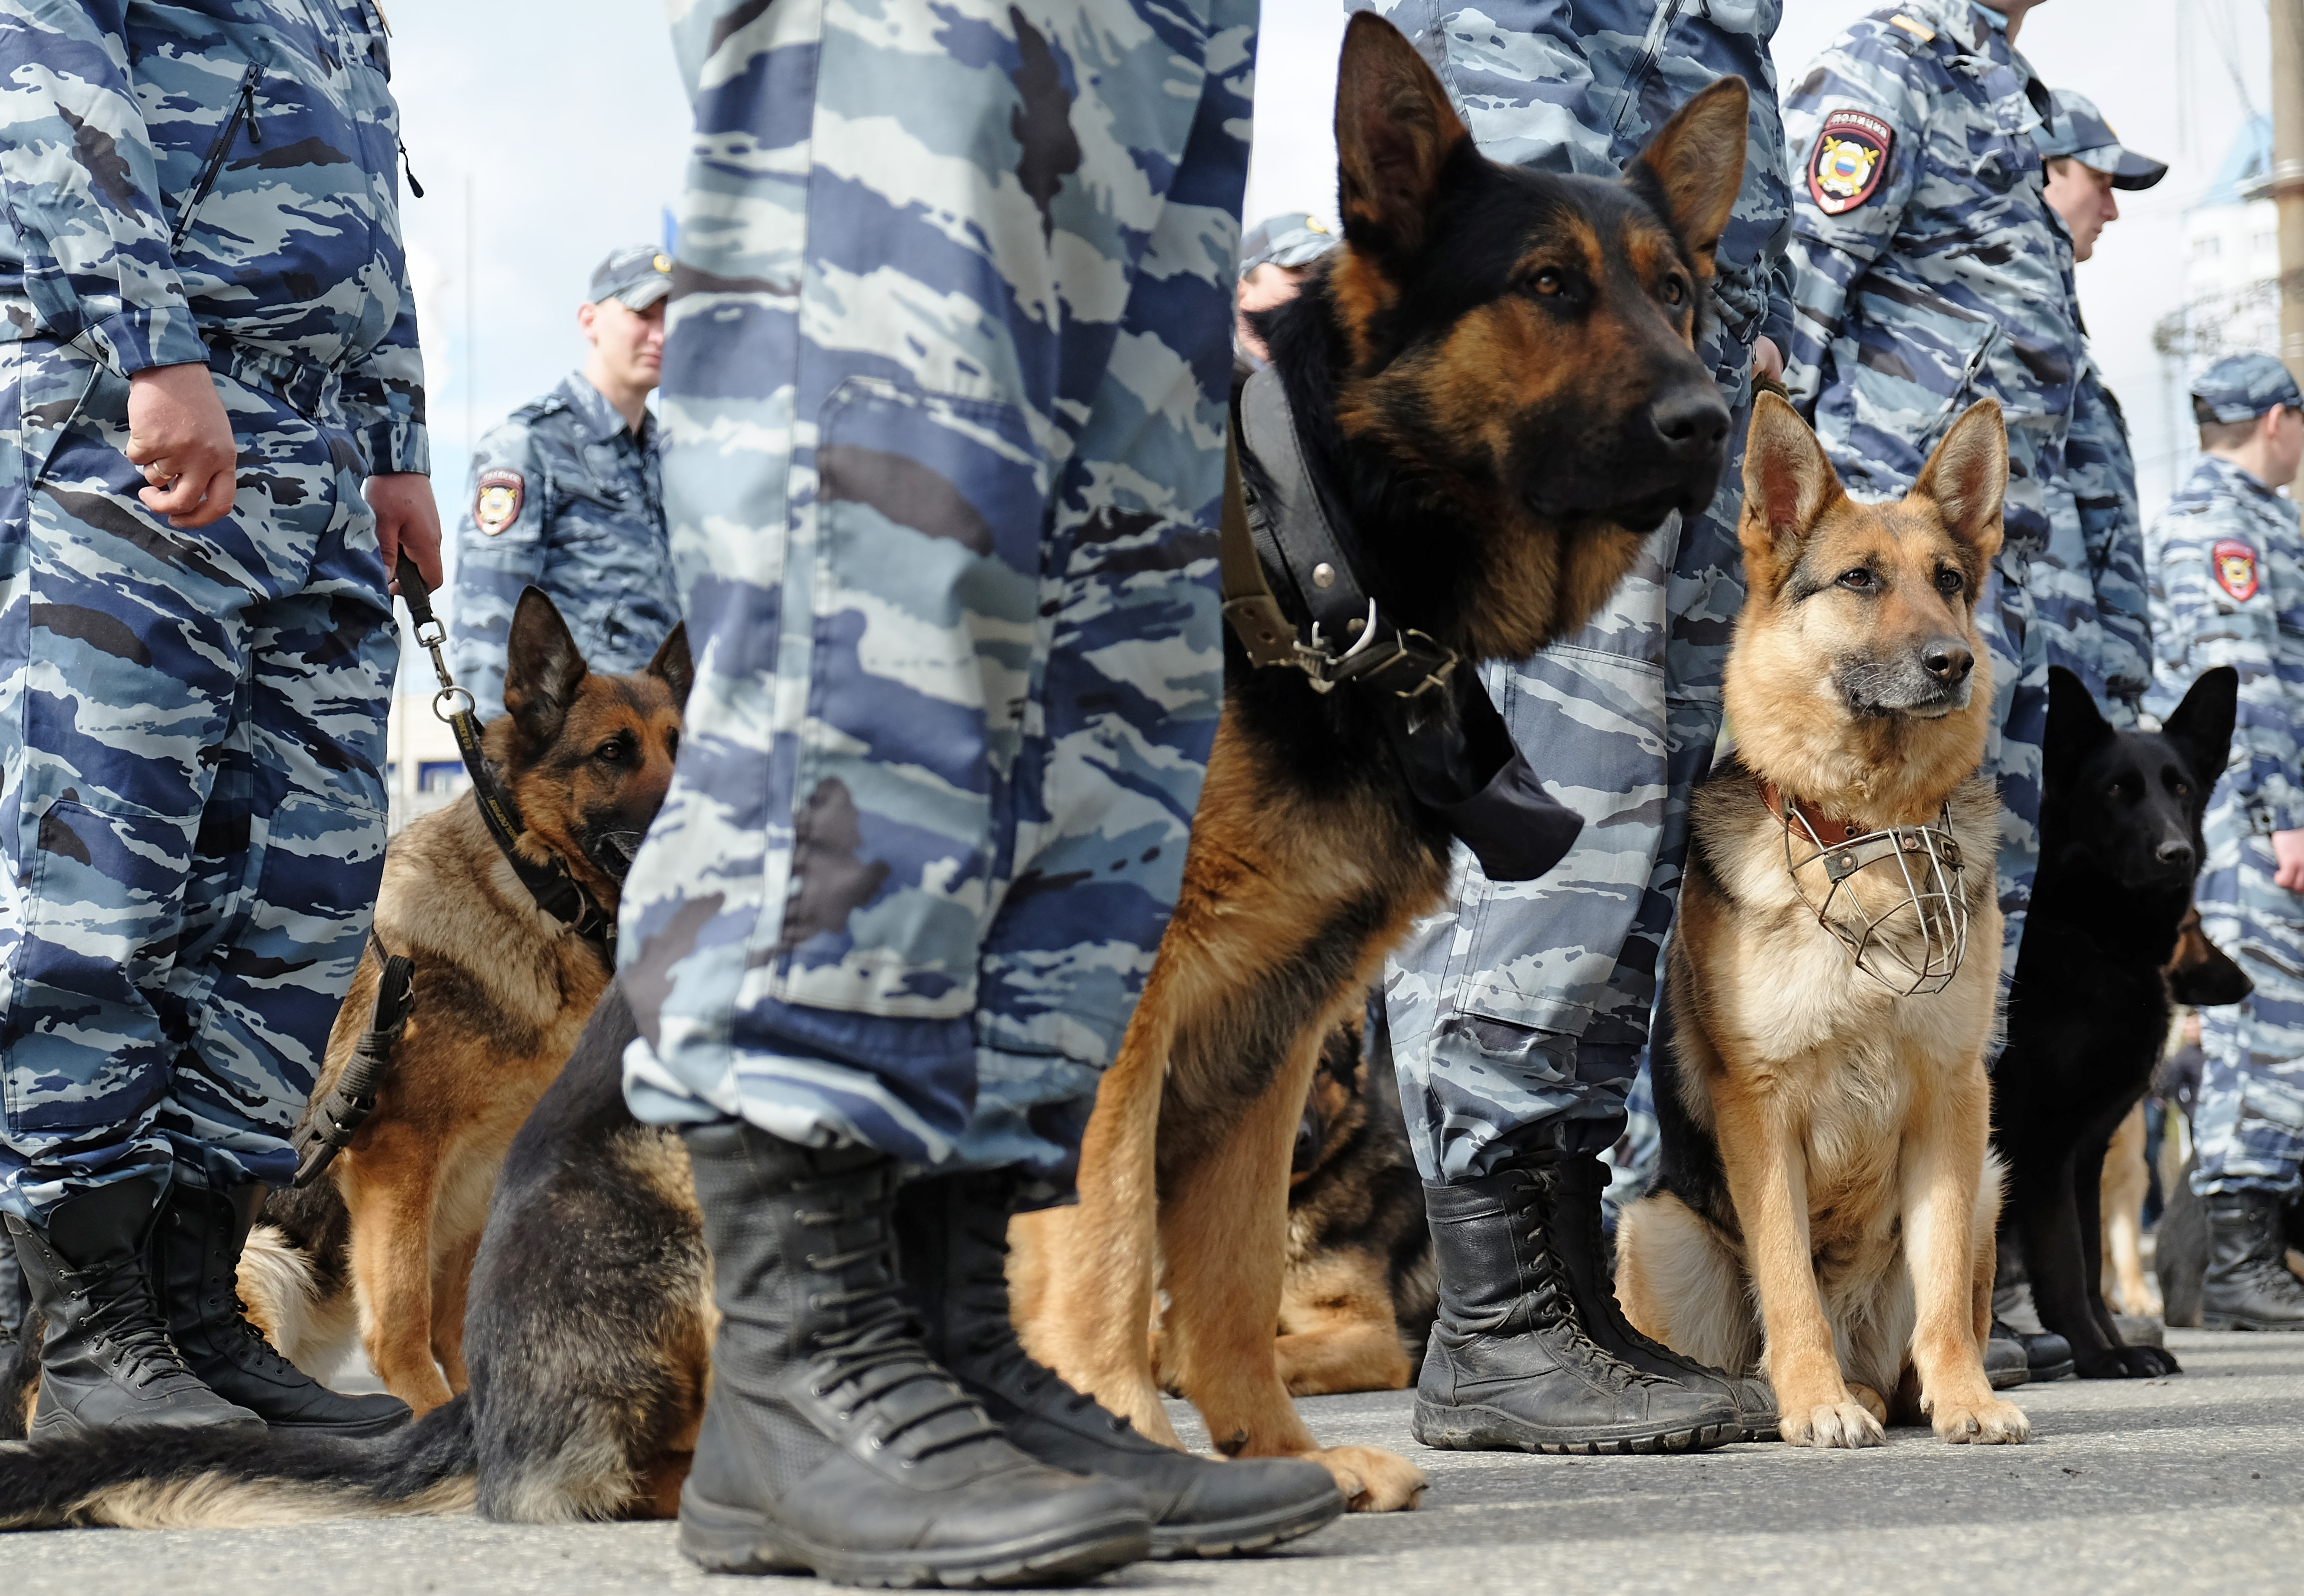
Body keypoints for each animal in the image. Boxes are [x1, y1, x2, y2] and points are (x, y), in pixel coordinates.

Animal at [237, 589, 682, 1409]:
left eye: (682, 744)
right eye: (613, 752)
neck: (540, 888)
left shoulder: (481, 1172)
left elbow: (457, 1325)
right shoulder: (397, 1157)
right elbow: (403, 1326)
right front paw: (430, 1417)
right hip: (266, 1257)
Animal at [1009, 15, 1741, 1511]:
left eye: (1674, 294)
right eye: (1544, 284)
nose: (1710, 422)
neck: (1316, 558)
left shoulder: (1270, 1032)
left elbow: (1229, 1279)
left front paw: (1282, 1458)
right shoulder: (1128, 1007)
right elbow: (1111, 1254)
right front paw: (1133, 1447)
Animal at [1612, 396, 2027, 1446]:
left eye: (1949, 582)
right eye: (1859, 580)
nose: (1954, 663)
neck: (1866, 837)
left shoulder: (1953, 1103)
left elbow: (1940, 1294)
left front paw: (1967, 1398)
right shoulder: (1759, 1109)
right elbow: (1787, 1274)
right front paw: (1812, 1402)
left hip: (1991, 1181)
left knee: (1920, 1334)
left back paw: (1903, 1390)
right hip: (1656, 1224)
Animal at [1990, 668, 2239, 1372]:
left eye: (2180, 788)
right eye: (2116, 792)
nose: (2177, 854)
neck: (2093, 940)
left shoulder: (2086, 1152)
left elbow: (2093, 1259)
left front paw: (2118, 1347)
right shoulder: (2044, 1145)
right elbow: (2064, 1262)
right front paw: (2097, 1357)